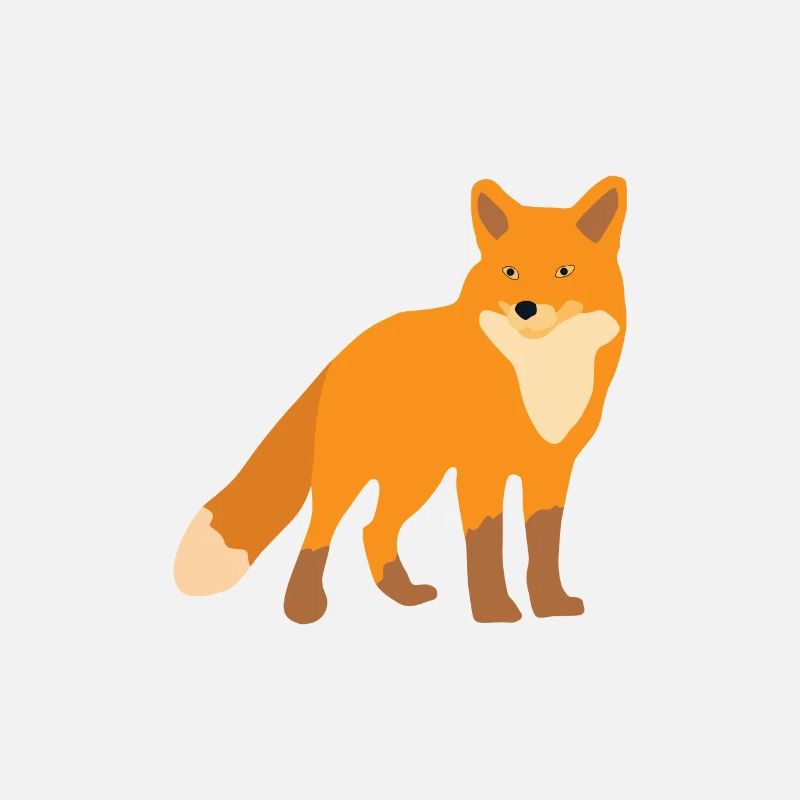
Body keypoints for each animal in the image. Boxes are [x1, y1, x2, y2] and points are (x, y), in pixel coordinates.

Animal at [174, 176, 627, 623]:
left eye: (564, 270)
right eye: (510, 271)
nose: (526, 308)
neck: (542, 373)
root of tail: (345, 352)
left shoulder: (551, 470)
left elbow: (545, 548)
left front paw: (550, 607)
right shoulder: (481, 470)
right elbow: (485, 544)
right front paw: (494, 610)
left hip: (416, 477)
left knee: (373, 530)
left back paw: (402, 595)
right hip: (350, 471)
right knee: (320, 530)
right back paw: (303, 606)